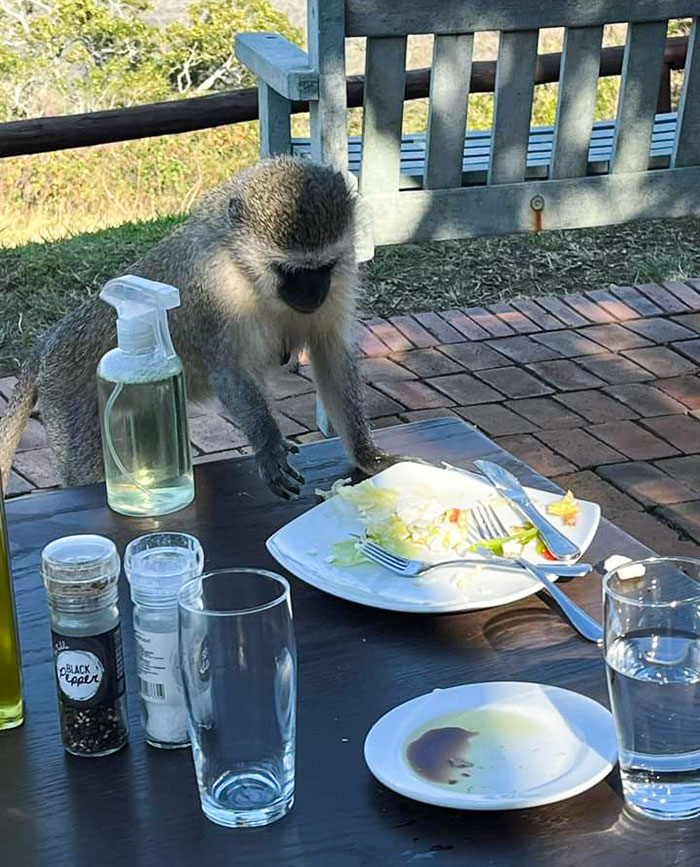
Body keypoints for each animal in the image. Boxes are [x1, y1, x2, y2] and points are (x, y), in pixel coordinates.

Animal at [0, 156, 389, 499]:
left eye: (324, 267)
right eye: (288, 270)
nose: (314, 295)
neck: (248, 271)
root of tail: (52, 341)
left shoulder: (341, 276)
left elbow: (332, 355)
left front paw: (368, 457)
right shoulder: (216, 286)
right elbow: (229, 371)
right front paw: (268, 445)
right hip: (71, 405)